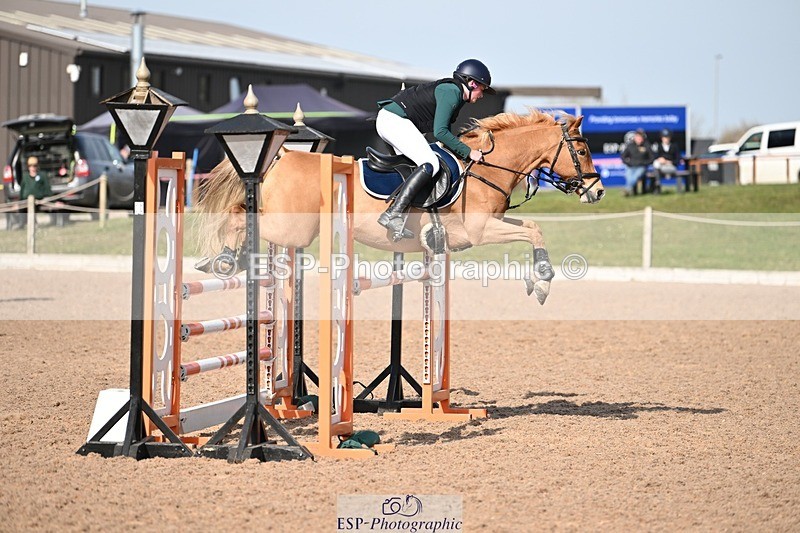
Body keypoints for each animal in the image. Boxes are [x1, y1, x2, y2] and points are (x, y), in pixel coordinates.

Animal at [194, 109, 604, 304]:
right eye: (583, 150)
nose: (597, 191)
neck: (486, 166)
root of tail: (281, 156)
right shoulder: (480, 231)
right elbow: (534, 229)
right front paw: (543, 281)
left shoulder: (489, 227)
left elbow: (533, 227)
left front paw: (536, 282)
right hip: (293, 227)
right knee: (240, 216)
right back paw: (224, 259)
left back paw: (228, 259)